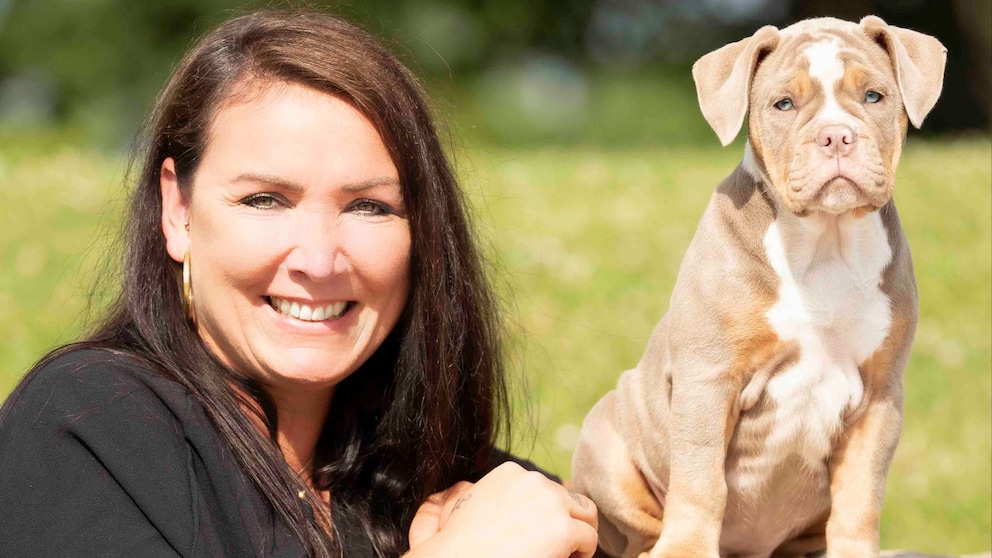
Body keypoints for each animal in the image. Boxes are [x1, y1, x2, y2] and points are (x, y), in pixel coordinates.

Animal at [572, 15, 944, 556]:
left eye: (874, 96)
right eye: (783, 104)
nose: (837, 136)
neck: (825, 242)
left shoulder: (879, 396)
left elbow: (861, 494)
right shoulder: (709, 379)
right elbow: (701, 479)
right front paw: (686, 549)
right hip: (605, 442)